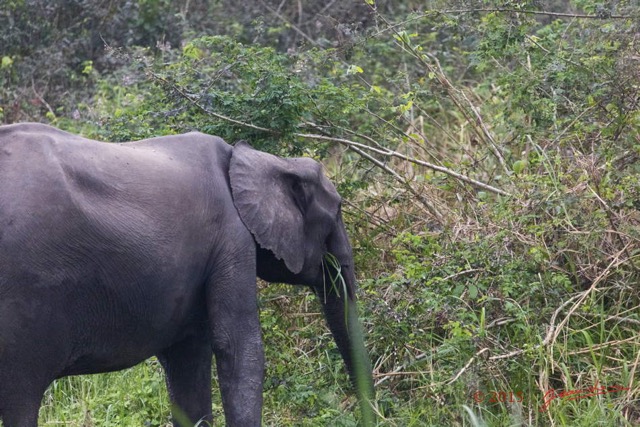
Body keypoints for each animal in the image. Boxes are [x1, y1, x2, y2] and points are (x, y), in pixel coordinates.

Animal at [0, 123, 376, 427]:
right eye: (338, 210)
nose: (371, 417)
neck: (256, 157)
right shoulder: (231, 237)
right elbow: (238, 346)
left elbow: (187, 359)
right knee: (21, 397)